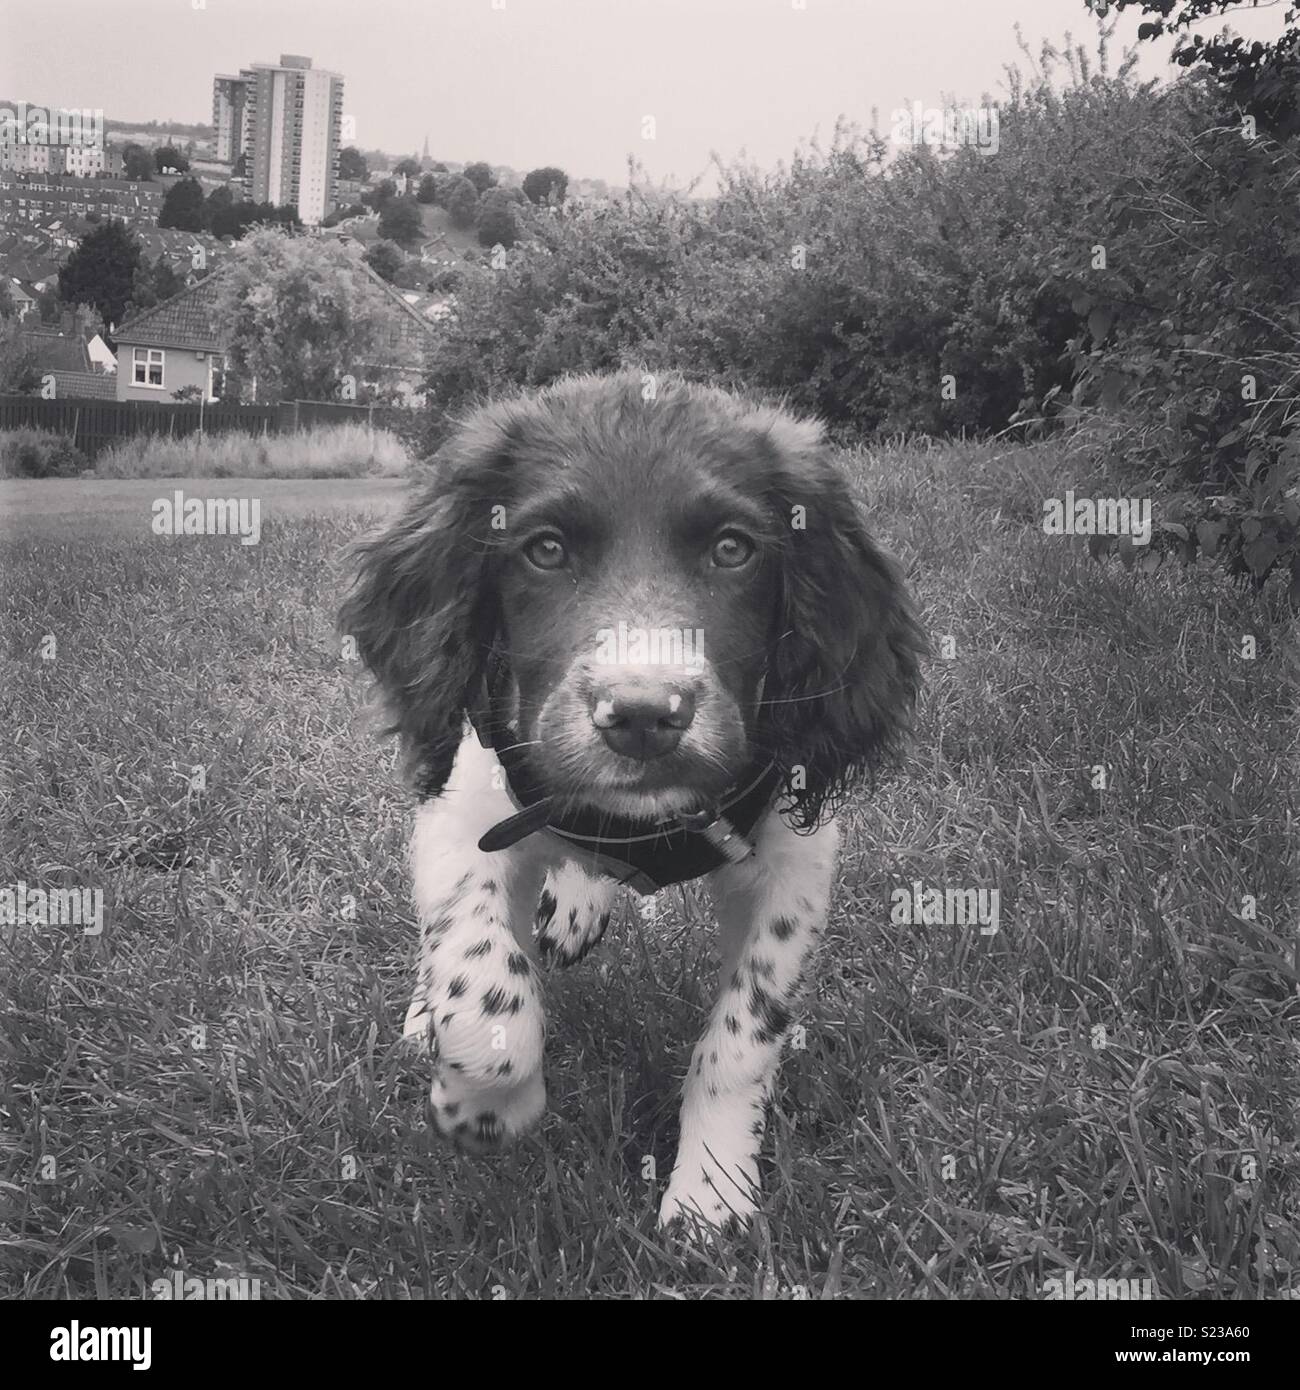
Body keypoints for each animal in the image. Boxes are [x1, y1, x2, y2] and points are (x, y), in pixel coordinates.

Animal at [340, 369, 917, 1228]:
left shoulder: (796, 863)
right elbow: (481, 978)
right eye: (545, 550)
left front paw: (711, 1191)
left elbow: (742, 1035)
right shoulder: (468, 810)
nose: (644, 715)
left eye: (732, 549)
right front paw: (483, 1105)